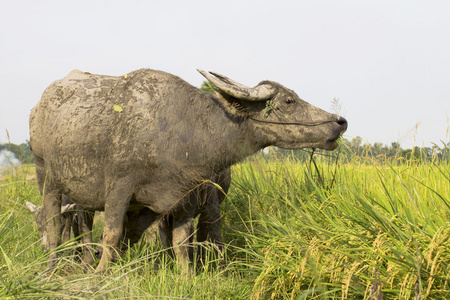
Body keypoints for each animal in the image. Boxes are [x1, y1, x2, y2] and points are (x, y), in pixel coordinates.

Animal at [29, 68, 348, 272]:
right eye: (289, 100)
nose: (340, 122)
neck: (186, 129)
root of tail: (41, 104)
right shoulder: (119, 188)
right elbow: (111, 234)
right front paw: (100, 275)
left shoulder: (182, 196)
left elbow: (182, 242)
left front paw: (184, 276)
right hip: (47, 177)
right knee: (55, 226)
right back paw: (53, 268)